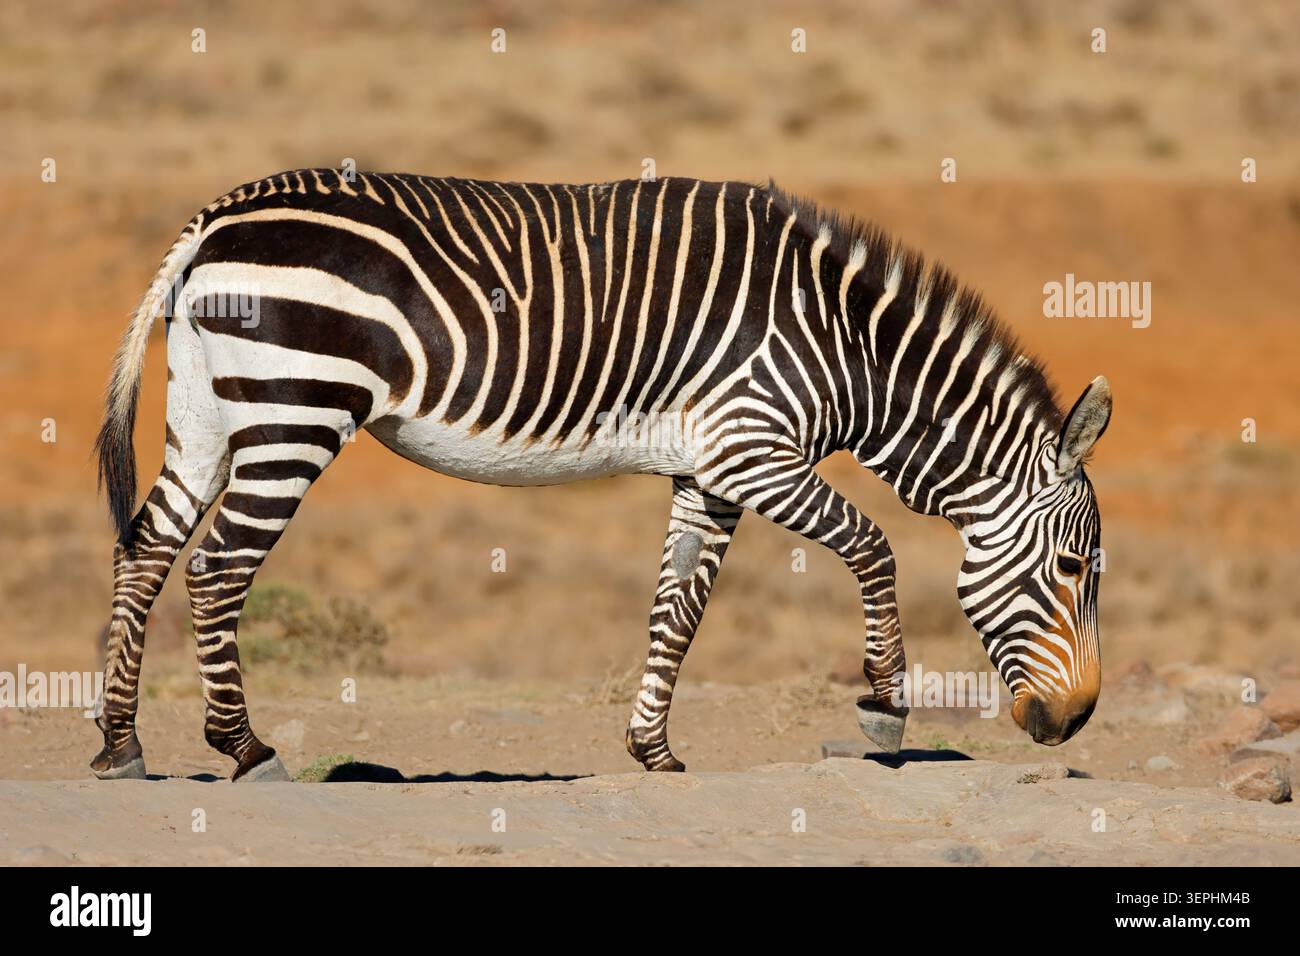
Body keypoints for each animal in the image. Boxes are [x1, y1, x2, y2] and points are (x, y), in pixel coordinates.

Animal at [92, 170, 1111, 781]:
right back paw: (245, 749)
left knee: (146, 551)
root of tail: (216, 217)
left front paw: (652, 750)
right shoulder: (755, 449)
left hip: (207, 416)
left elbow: (678, 612)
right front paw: (883, 710)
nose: (1074, 723)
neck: (845, 346)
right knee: (217, 569)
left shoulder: (713, 473)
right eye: (1073, 572)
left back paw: (121, 745)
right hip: (292, 411)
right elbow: (873, 547)